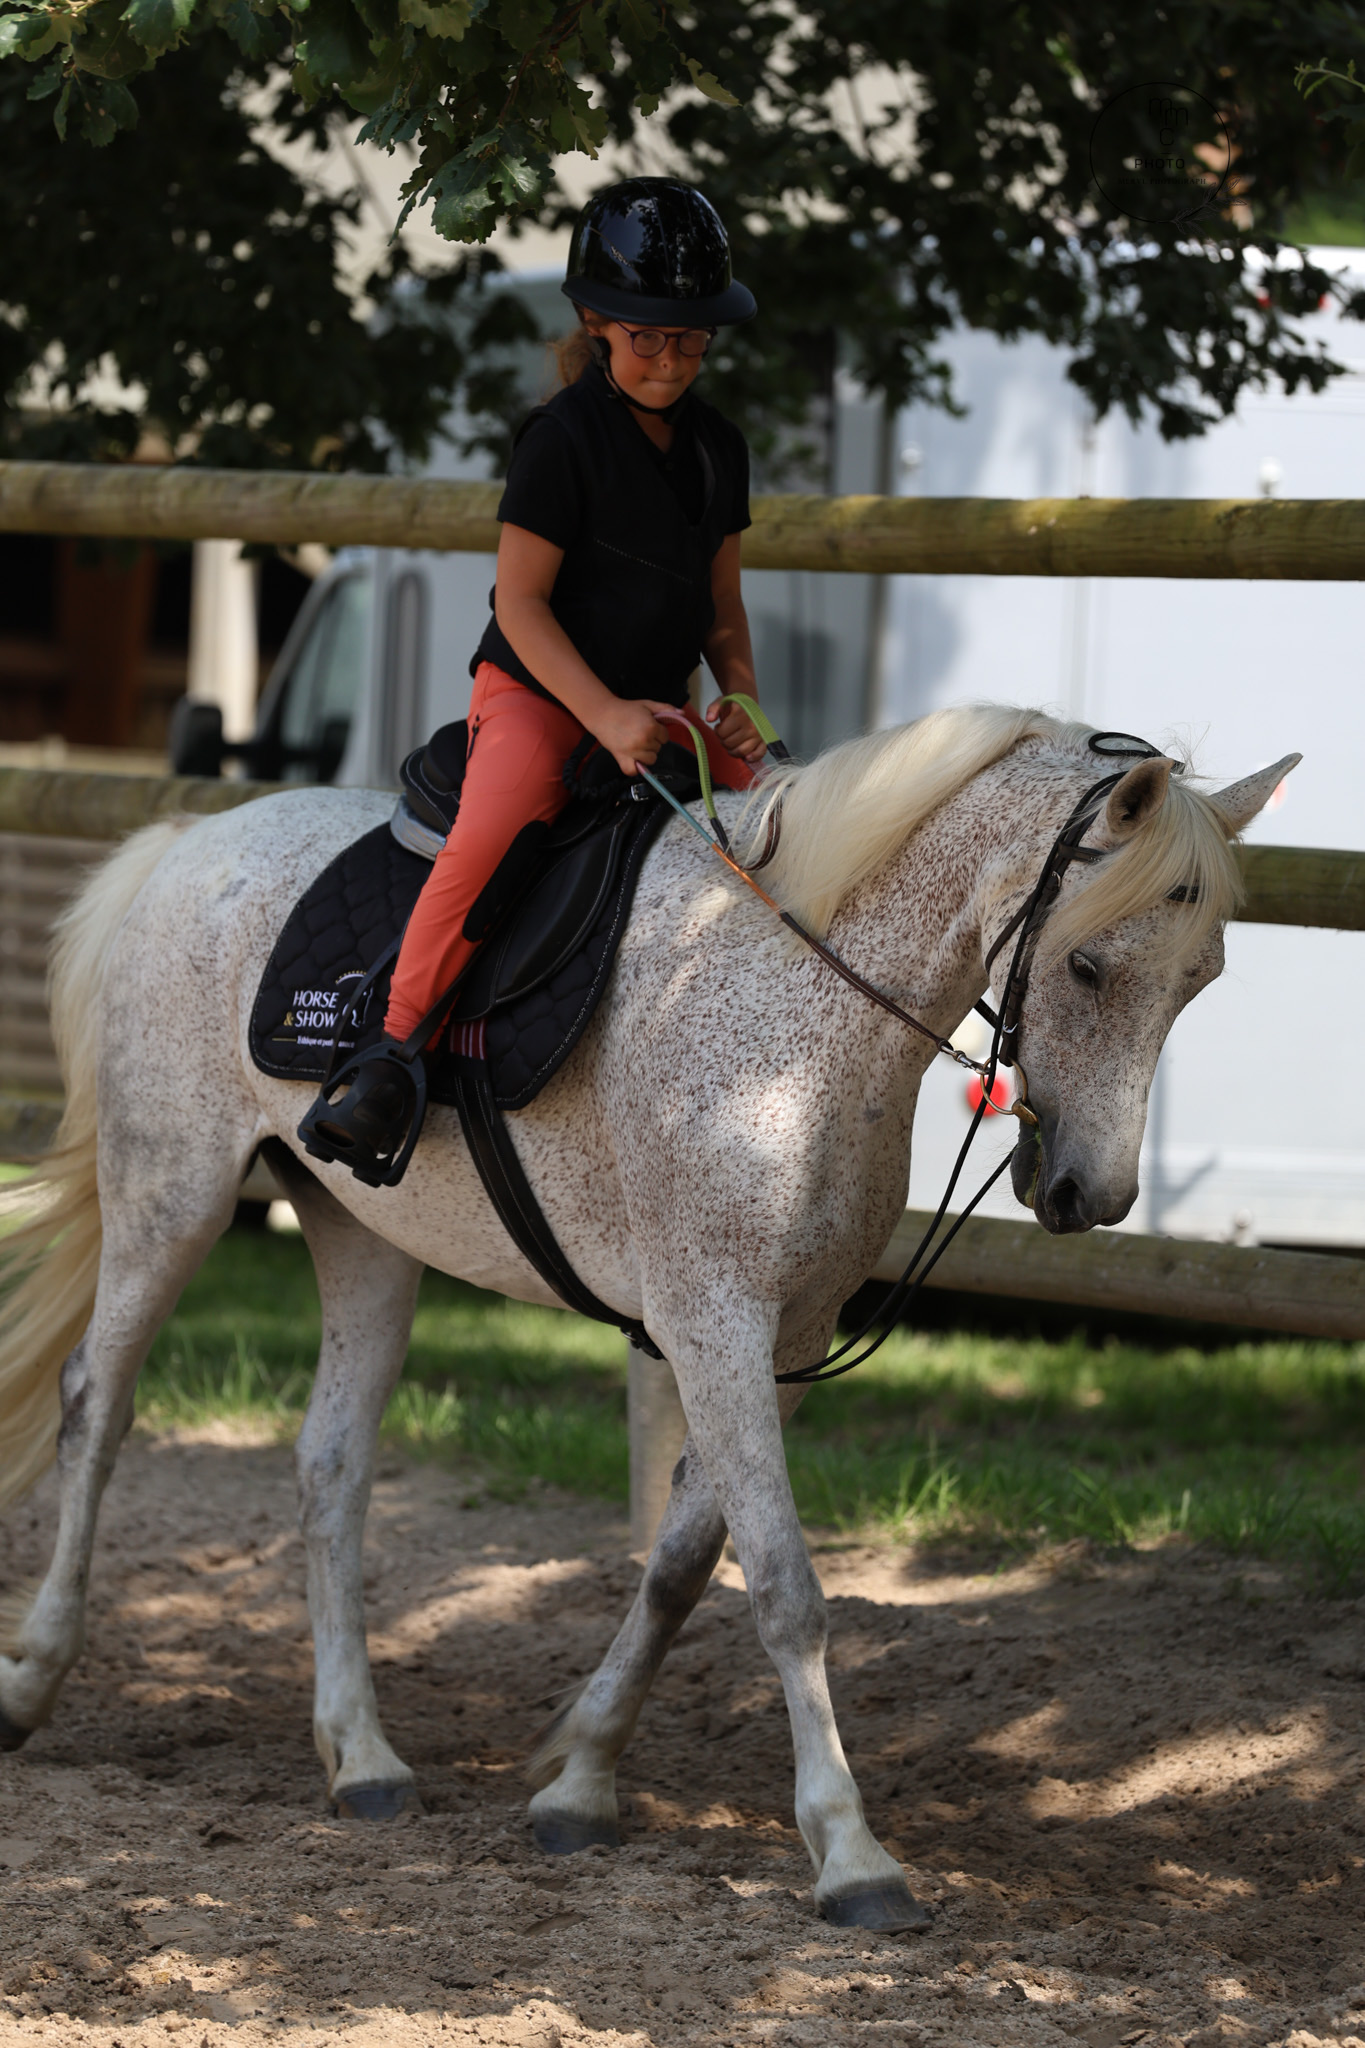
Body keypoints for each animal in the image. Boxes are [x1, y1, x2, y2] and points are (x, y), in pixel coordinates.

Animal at [0, 705, 1295, 1933]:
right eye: (1088, 968)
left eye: (1198, 980)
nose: (1090, 1194)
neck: (800, 1009)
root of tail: (188, 840)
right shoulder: (712, 1321)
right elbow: (786, 1586)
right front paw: (850, 1851)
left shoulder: (784, 1338)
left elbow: (681, 1565)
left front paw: (580, 1776)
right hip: (172, 1188)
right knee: (96, 1406)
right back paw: (32, 1680)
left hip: (362, 1232)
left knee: (331, 1465)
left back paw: (361, 1755)